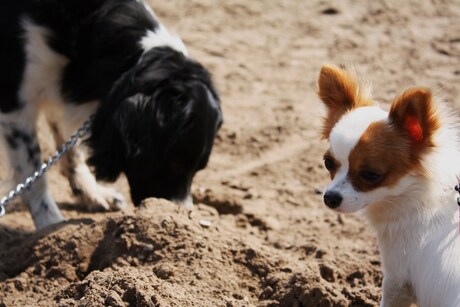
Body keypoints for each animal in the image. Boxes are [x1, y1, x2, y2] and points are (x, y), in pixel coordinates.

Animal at [0, 0, 223, 230]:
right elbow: (33, 170)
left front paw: (91, 193)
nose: (182, 218)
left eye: (199, 169)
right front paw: (50, 224)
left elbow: (70, 147)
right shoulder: (16, 102)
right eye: (176, 164)